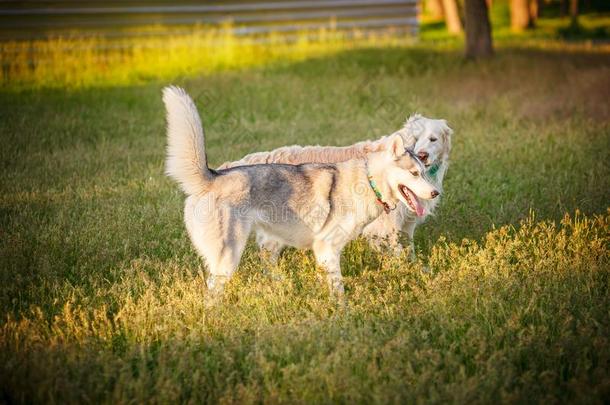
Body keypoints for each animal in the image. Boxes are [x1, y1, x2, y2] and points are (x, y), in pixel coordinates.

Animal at [216, 113, 448, 256]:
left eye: (433, 139)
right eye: (414, 139)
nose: (422, 155)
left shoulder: (407, 225)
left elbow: (410, 253)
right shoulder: (384, 228)